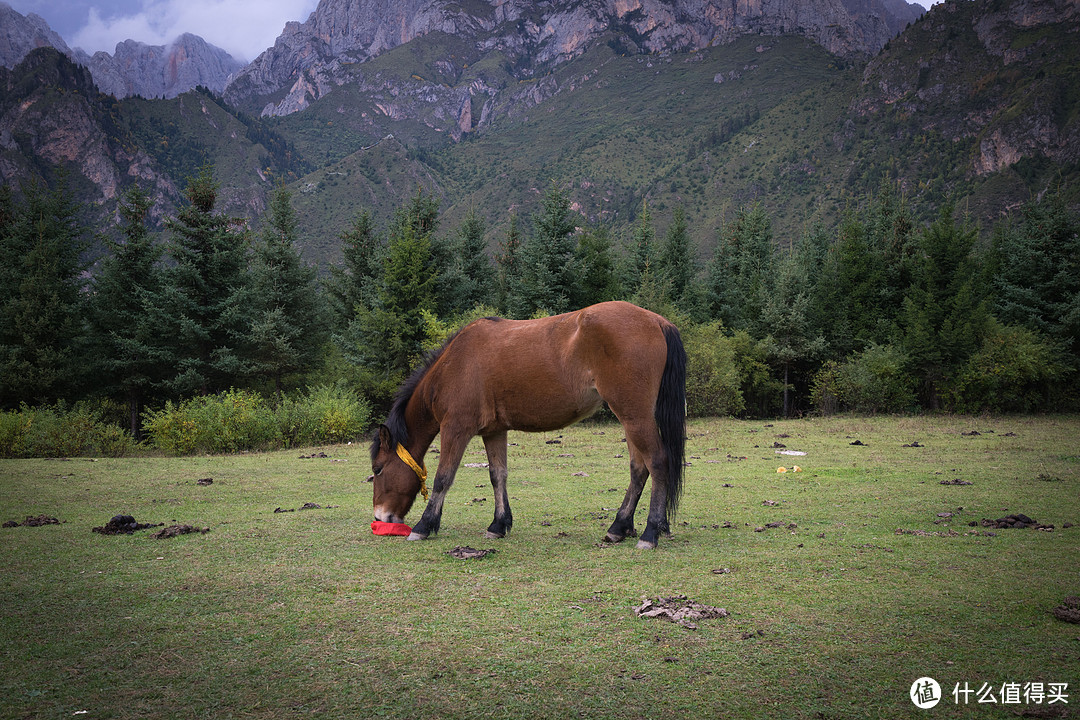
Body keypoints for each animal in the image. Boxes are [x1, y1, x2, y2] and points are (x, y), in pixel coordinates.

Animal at [369, 302, 682, 548]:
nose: (380, 517)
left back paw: (650, 533)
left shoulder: (456, 429)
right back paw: (619, 527)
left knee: (657, 463)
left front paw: (424, 526)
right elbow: (498, 475)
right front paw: (498, 524)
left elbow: (443, 477)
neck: (454, 365)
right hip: (631, 419)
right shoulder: (494, 432)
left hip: (634, 416)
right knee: (638, 469)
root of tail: (658, 321)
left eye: (378, 469)